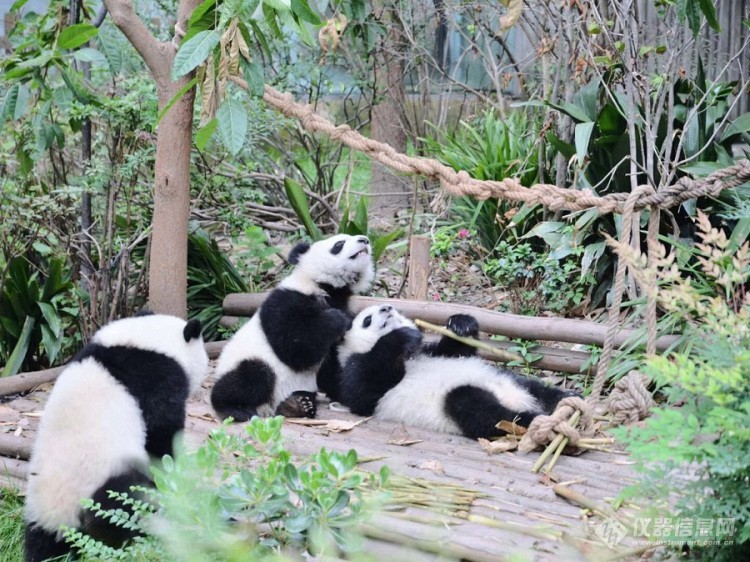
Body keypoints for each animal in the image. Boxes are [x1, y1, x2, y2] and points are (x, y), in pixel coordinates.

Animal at [24, 310, 209, 560]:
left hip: (38, 505)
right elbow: (161, 431)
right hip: (103, 481)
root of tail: (61, 519)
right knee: (120, 507)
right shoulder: (156, 377)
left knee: (40, 543)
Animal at [212, 232, 376, 420]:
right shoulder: (287, 299)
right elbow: (294, 347)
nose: (364, 240)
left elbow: (333, 364)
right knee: (253, 374)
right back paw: (235, 408)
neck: (328, 287)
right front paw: (336, 319)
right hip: (245, 362)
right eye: (339, 244)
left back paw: (298, 404)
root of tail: (269, 406)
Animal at [338, 306, 580, 438]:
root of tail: (517, 399)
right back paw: (536, 420)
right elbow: (362, 390)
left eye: (394, 309)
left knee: (537, 389)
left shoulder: (431, 352)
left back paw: (566, 399)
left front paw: (461, 324)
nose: (387, 308)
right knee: (479, 410)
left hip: (507, 379)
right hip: (456, 401)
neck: (408, 357)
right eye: (367, 320)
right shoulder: (356, 368)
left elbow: (457, 350)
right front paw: (401, 336)